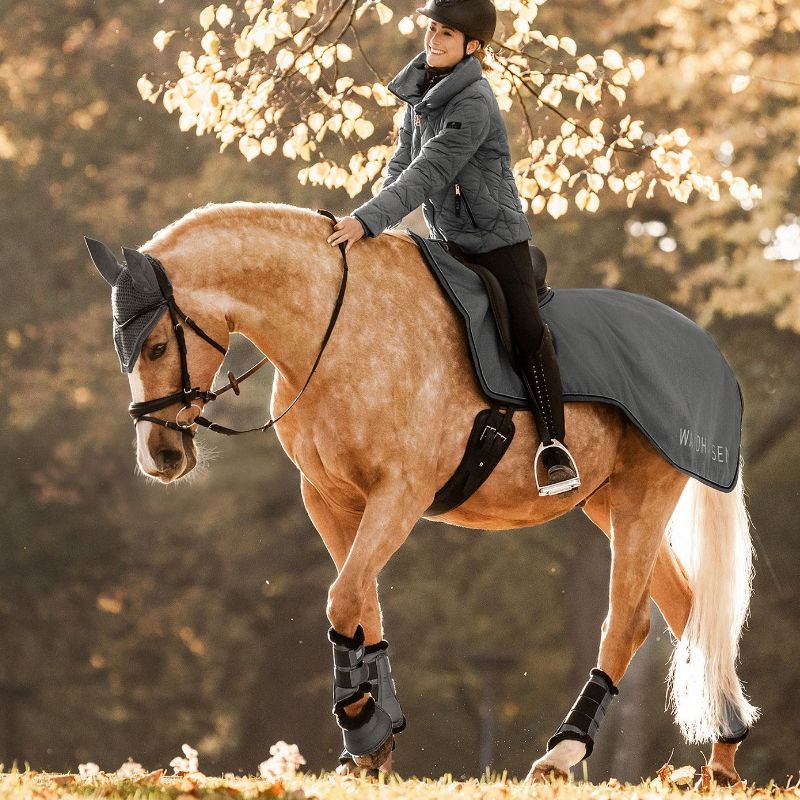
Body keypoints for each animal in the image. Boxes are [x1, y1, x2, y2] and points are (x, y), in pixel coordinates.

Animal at [86, 200, 758, 784]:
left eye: (157, 345)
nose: (160, 457)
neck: (337, 330)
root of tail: (709, 353)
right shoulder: (331, 500)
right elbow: (362, 608)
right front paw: (374, 738)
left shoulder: (400, 495)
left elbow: (342, 601)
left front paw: (362, 726)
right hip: (606, 501)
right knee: (685, 611)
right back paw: (723, 754)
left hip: (644, 495)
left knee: (628, 621)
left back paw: (563, 754)